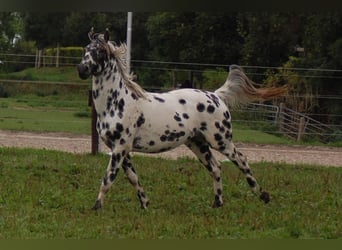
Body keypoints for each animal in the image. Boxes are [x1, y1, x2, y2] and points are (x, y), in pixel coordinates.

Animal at [77, 28, 286, 210]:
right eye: (86, 49)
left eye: (100, 51)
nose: (82, 69)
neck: (118, 102)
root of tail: (216, 96)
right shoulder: (120, 149)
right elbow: (133, 178)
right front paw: (145, 204)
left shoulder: (120, 147)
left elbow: (108, 178)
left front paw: (96, 207)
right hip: (197, 143)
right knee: (216, 167)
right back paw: (217, 203)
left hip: (221, 141)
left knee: (241, 160)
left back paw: (262, 195)